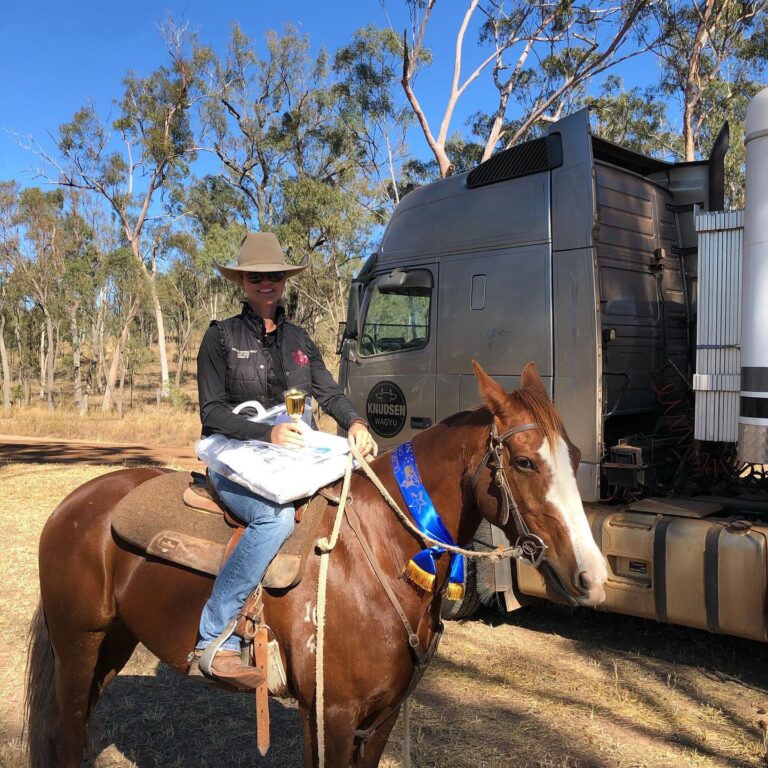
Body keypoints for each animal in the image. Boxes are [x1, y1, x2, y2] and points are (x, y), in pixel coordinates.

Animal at [25, 361, 607, 767]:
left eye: (577, 456)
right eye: (525, 461)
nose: (593, 576)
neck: (383, 550)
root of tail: (73, 505)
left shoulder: (381, 717)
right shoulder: (331, 715)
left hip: (114, 643)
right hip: (78, 645)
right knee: (67, 735)